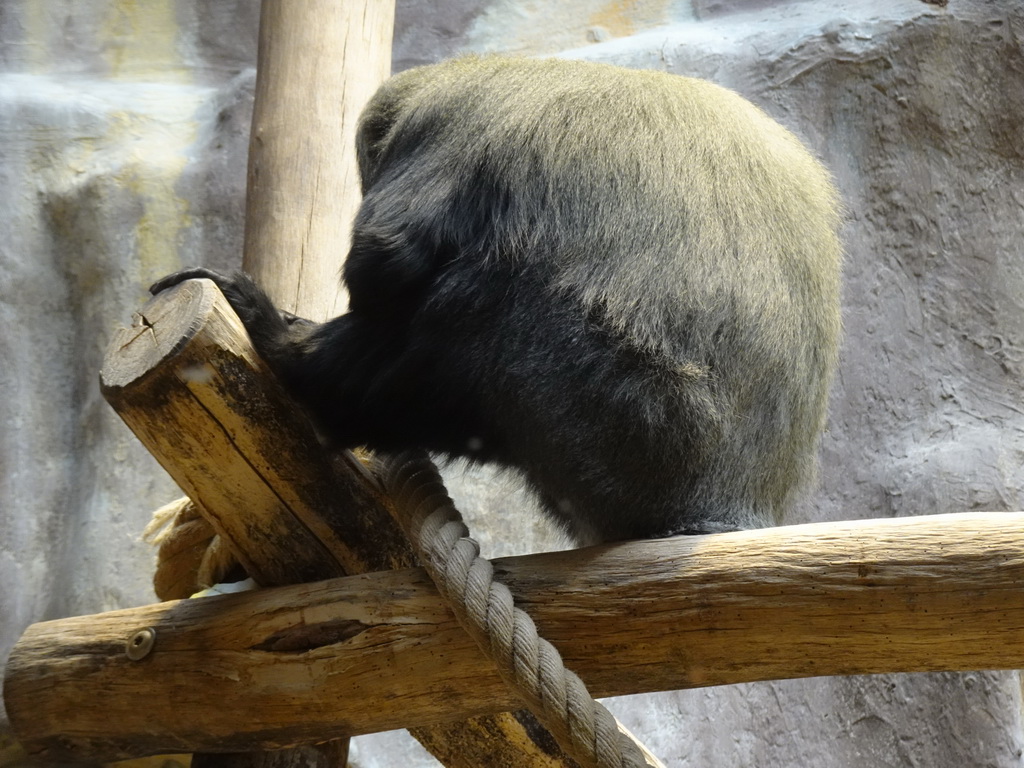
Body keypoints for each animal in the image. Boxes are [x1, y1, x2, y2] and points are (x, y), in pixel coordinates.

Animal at [151, 55, 839, 548]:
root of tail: (721, 509)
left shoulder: (450, 124)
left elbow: (386, 257)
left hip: (624, 421)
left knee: (483, 306)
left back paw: (297, 363)